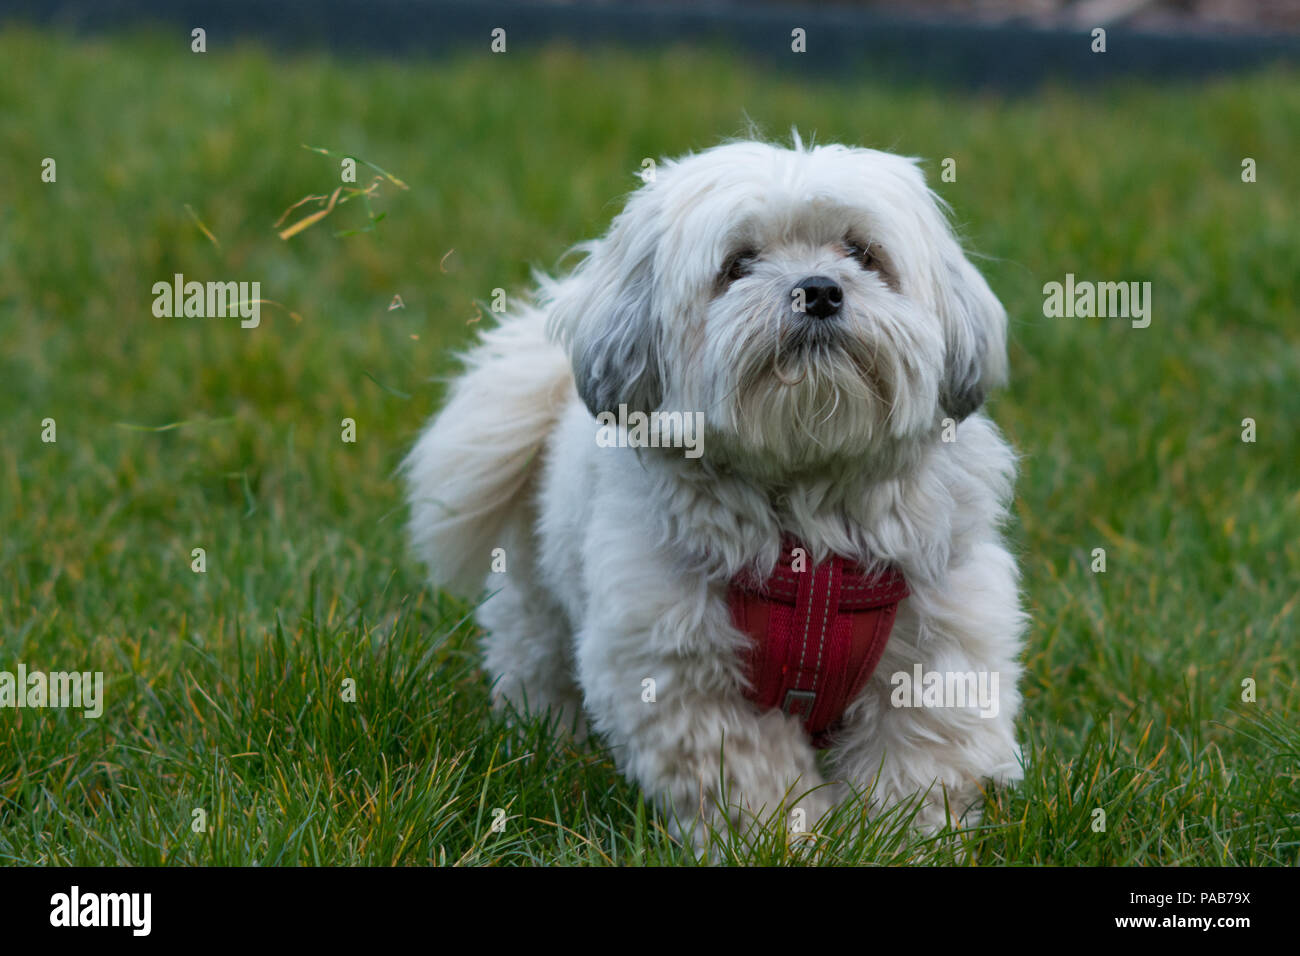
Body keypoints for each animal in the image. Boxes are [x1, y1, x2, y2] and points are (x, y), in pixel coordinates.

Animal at [403, 138, 1024, 848]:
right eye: (738, 265)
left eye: (862, 253)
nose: (819, 289)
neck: (808, 510)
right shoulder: (683, 673)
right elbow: (748, 777)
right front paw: (781, 843)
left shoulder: (941, 650)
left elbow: (912, 768)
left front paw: (890, 843)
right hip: (538, 607)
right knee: (538, 667)